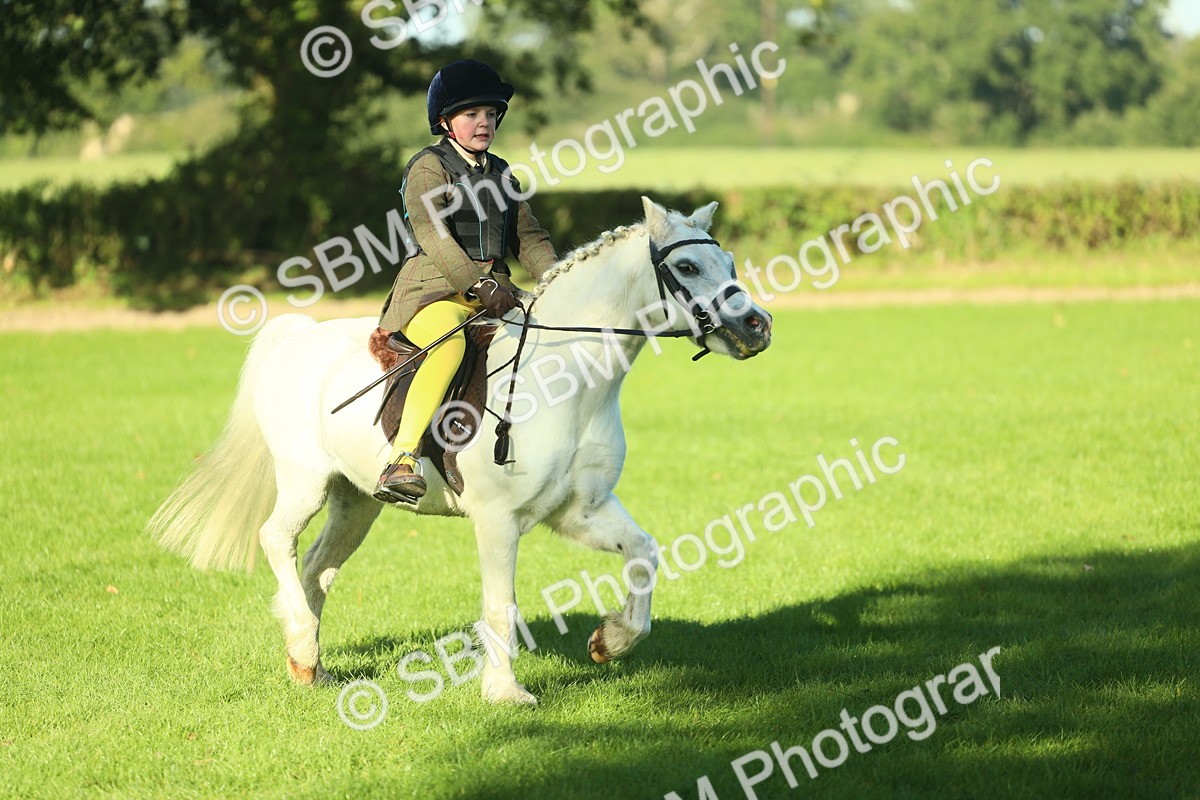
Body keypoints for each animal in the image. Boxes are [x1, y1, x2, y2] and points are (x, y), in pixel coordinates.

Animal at [148, 197, 773, 705]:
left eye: (730, 265)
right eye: (687, 267)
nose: (757, 327)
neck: (570, 382)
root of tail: (298, 335)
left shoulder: (580, 511)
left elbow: (643, 554)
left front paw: (610, 641)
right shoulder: (498, 520)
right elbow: (501, 603)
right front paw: (504, 692)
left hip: (357, 500)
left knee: (317, 568)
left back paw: (311, 668)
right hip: (304, 480)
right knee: (276, 539)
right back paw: (302, 645)